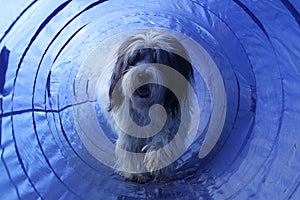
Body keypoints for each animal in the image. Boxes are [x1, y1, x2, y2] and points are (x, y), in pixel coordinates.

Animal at [105, 31, 195, 183]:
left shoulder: (174, 118)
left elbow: (166, 136)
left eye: (157, 58)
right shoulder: (129, 126)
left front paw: (158, 161)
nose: (142, 75)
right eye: (135, 58)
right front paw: (135, 173)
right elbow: (131, 145)